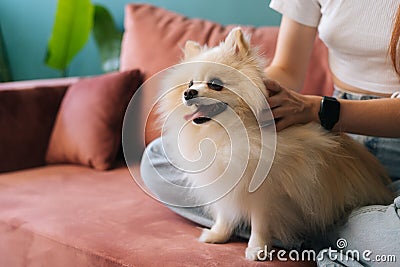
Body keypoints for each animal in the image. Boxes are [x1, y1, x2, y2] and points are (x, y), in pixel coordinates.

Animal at [157, 27, 394, 262]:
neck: (227, 134)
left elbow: (260, 222)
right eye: (190, 83)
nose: (188, 93)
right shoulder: (224, 180)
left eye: (215, 84)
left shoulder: (266, 190)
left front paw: (257, 249)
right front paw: (217, 235)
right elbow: (225, 212)